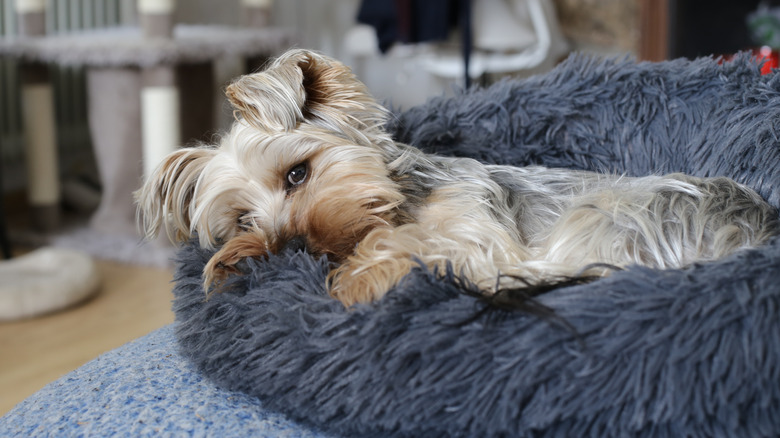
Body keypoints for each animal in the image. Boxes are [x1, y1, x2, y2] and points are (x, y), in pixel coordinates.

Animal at [136, 48, 780, 308]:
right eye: (242, 221)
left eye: (298, 173)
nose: (285, 251)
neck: (402, 199)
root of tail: (760, 229)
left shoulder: (477, 232)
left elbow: (411, 244)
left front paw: (354, 281)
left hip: (608, 219)